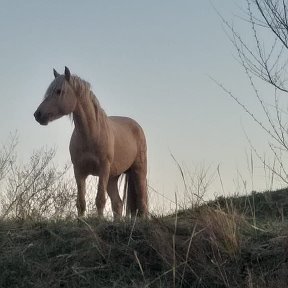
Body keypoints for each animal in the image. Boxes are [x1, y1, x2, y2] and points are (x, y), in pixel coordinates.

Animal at [33, 67, 148, 218]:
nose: (38, 114)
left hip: (138, 171)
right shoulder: (79, 171)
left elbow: (100, 200)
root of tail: (136, 126)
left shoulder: (103, 169)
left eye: (59, 91)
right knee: (117, 203)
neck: (91, 134)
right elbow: (81, 202)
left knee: (142, 202)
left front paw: (99, 221)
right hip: (113, 177)